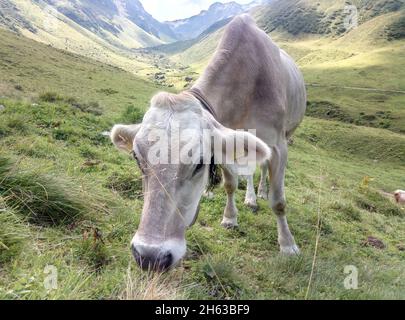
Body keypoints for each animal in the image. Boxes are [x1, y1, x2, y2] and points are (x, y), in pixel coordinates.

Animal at [110, 14, 306, 270]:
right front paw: (230, 217)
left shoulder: (278, 146)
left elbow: (279, 201)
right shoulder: (226, 142)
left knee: (262, 170)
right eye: (137, 158)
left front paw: (288, 245)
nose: (149, 256)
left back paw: (259, 194)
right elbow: (230, 184)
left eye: (199, 164)